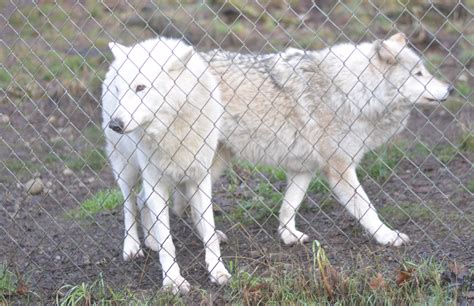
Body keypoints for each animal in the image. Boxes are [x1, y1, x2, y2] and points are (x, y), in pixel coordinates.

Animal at [102, 37, 231, 292]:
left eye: (140, 88)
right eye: (120, 90)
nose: (115, 124)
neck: (172, 128)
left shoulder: (199, 176)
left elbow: (208, 229)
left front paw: (217, 270)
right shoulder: (155, 182)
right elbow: (167, 241)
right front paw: (173, 281)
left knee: (142, 200)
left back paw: (153, 240)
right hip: (127, 169)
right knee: (129, 203)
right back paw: (133, 246)